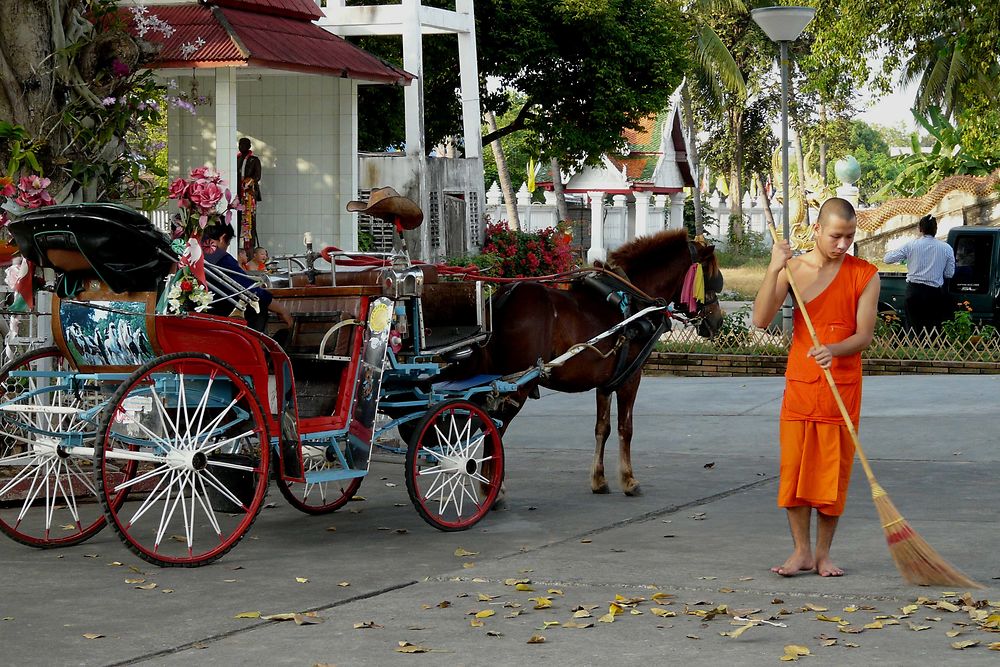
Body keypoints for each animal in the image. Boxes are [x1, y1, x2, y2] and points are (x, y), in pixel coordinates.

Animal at [458, 230, 724, 496]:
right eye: (711, 279)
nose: (718, 321)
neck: (635, 299)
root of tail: (502, 298)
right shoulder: (631, 377)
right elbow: (625, 428)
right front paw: (629, 479)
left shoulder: (606, 383)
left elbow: (602, 428)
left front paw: (599, 478)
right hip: (516, 386)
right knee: (495, 426)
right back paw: (490, 489)